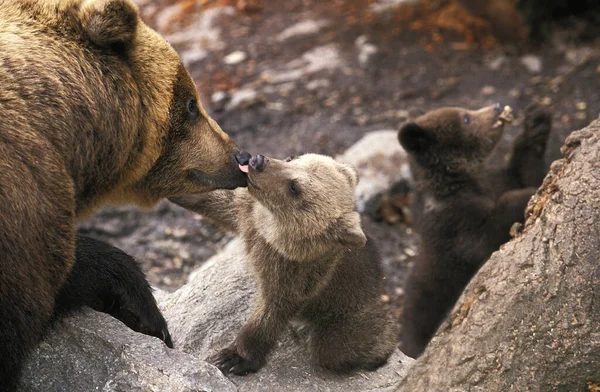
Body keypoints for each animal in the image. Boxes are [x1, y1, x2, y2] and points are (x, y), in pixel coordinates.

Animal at [172, 155, 398, 376]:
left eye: (294, 187)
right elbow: (215, 201)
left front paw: (235, 357)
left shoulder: (295, 272)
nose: (257, 161)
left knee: (335, 348)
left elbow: (272, 309)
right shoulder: (248, 213)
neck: (272, 232)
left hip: (349, 311)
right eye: (292, 159)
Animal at [396, 102, 552, 356]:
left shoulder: (496, 180)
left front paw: (537, 124)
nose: (496, 106)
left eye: (465, 111)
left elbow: (526, 171)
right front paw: (526, 195)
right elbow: (483, 235)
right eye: (466, 118)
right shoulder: (454, 222)